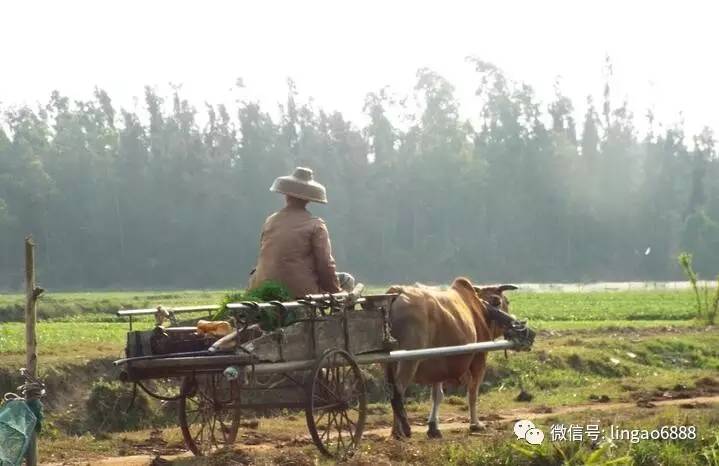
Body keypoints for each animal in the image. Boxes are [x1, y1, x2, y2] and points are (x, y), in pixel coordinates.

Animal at [386, 278, 520, 438]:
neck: (479, 309)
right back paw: (400, 430)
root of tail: (397, 292)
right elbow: (473, 392)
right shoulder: (479, 358)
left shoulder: (437, 364)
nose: (514, 323)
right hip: (408, 361)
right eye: (507, 302)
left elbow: (437, 395)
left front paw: (433, 427)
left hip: (388, 363)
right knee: (398, 392)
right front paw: (476, 424)